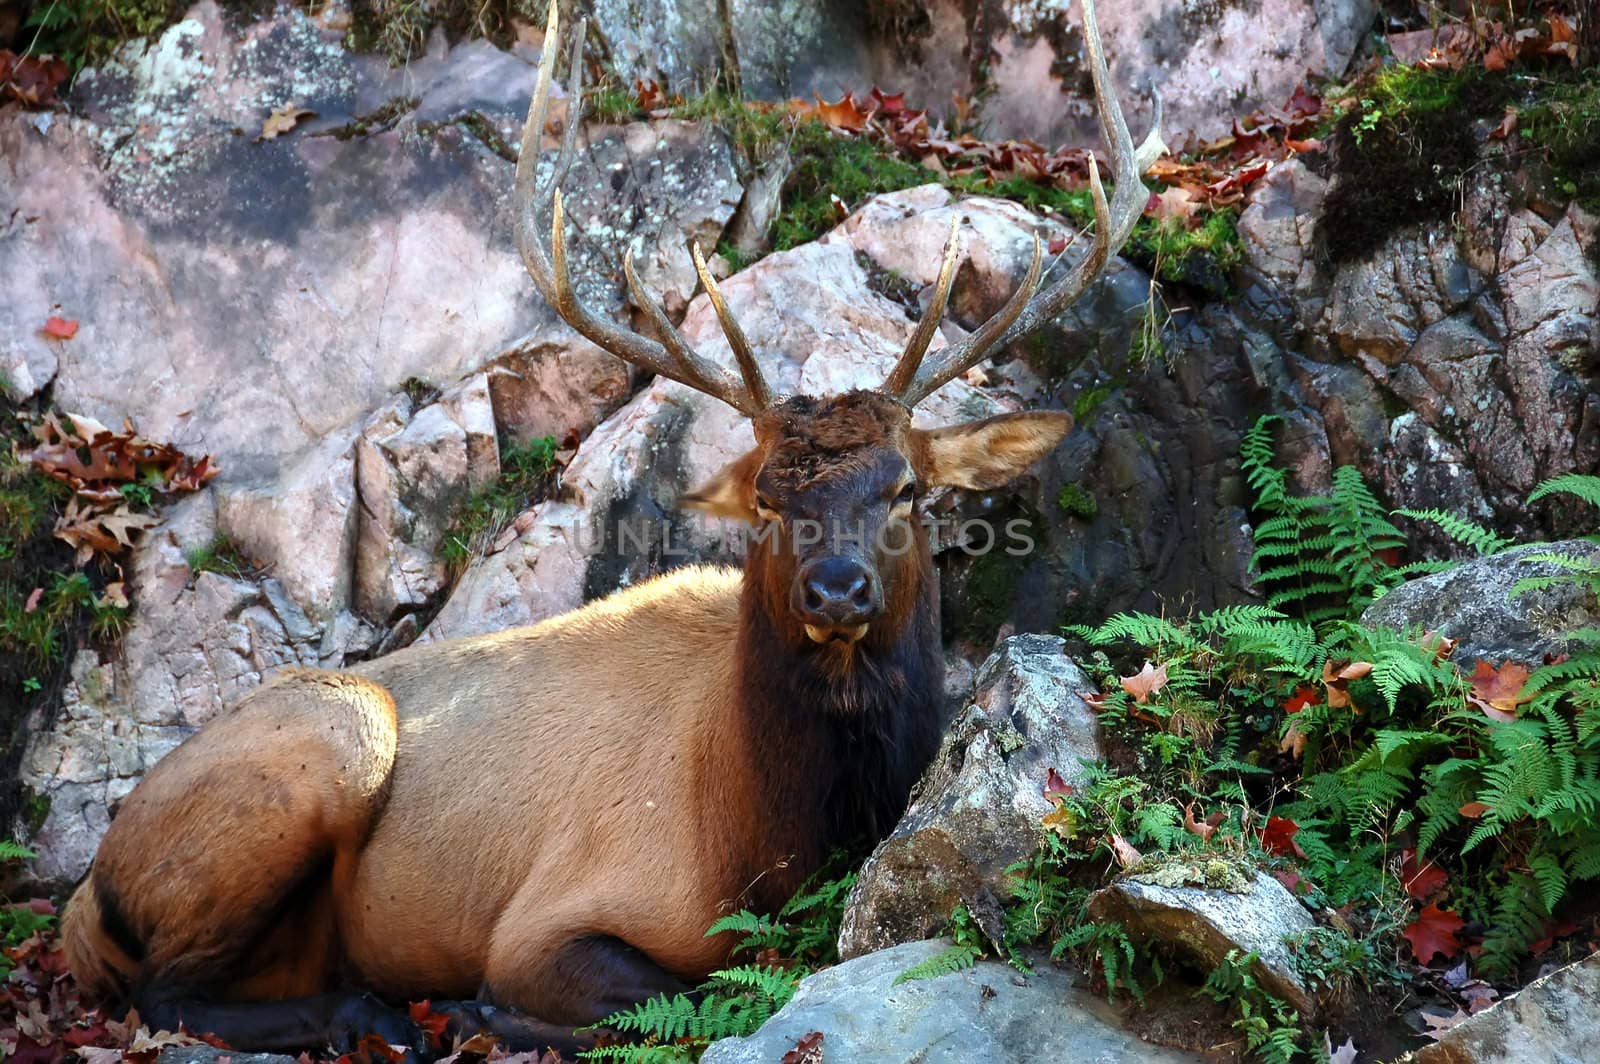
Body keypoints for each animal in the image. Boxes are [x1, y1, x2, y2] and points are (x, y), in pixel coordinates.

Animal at [62, 0, 1158, 1056]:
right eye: (767, 496)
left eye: (905, 488)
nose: (837, 587)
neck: (768, 831)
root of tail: (84, 891)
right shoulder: (544, 918)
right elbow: (682, 989)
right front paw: (478, 1011)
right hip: (335, 741)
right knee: (164, 990)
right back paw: (370, 1016)